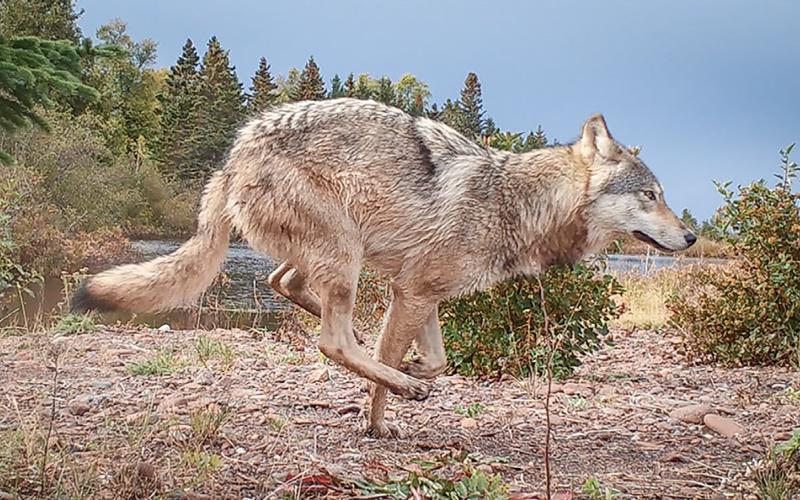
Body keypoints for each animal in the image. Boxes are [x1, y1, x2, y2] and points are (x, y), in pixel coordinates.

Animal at [72, 98, 696, 437]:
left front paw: (411, 373)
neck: (515, 203)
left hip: (336, 259)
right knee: (331, 339)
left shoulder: (419, 292)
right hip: (344, 252)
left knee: (288, 287)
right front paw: (379, 418)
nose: (691, 237)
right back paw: (395, 378)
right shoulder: (414, 292)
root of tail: (236, 155)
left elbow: (438, 360)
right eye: (651, 195)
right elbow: (393, 369)